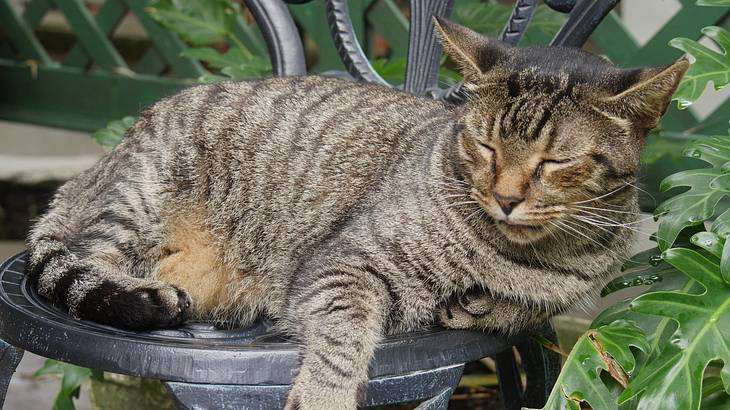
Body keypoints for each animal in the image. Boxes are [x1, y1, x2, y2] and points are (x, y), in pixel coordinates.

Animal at [27, 18, 684, 406]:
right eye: (485, 145)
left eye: (554, 162)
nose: (505, 196)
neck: (522, 254)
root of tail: (96, 166)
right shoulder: (342, 266)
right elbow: (344, 336)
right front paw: (324, 395)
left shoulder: (561, 294)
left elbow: (520, 309)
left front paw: (479, 303)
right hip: (137, 201)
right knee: (84, 261)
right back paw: (142, 294)